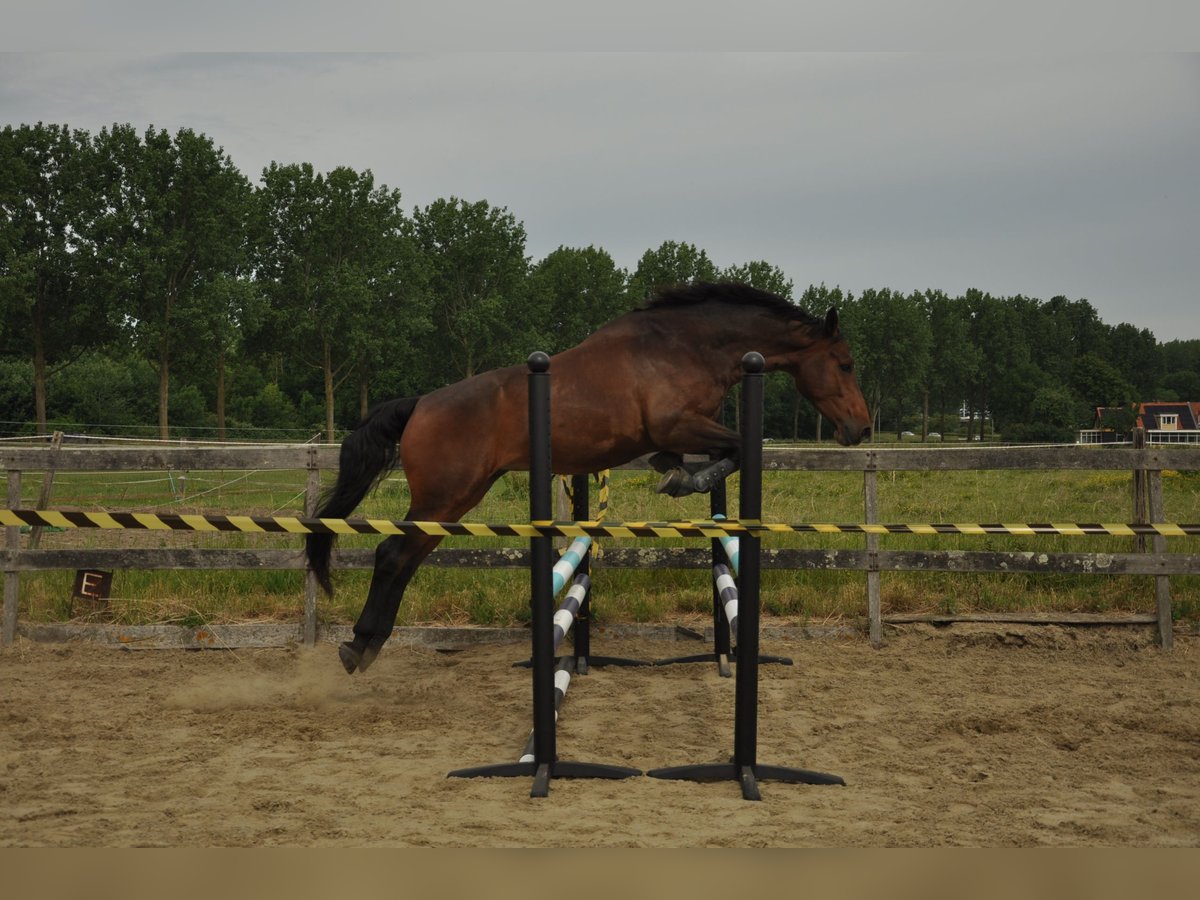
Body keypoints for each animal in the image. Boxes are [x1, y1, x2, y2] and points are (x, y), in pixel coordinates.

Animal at [306, 281, 872, 674]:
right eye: (844, 364)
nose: (861, 429)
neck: (689, 346)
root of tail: (420, 404)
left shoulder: (676, 432)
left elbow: (708, 454)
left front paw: (675, 475)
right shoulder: (676, 422)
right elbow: (737, 447)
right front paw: (683, 481)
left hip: (455, 501)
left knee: (405, 561)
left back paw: (367, 644)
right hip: (444, 497)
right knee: (391, 555)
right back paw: (358, 646)